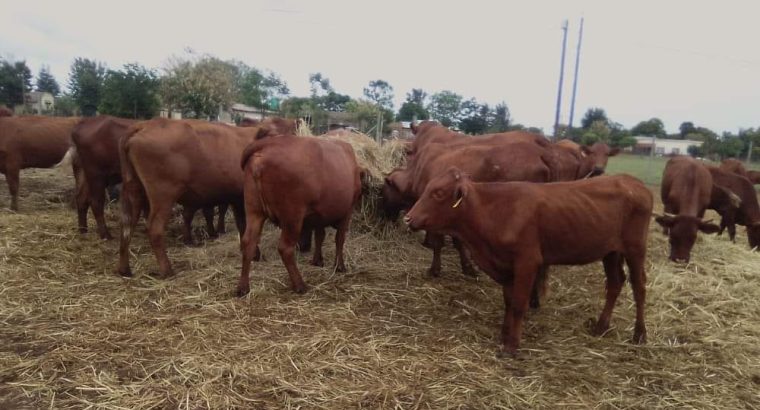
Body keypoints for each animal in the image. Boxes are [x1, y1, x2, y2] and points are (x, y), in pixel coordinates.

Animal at [68, 115, 227, 242]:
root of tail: (81, 125)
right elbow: (212, 210)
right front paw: (216, 231)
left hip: (86, 175)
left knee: (81, 199)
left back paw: (83, 229)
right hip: (96, 176)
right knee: (96, 202)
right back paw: (105, 234)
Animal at [117, 118, 291, 278]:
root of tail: (145, 124)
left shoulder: (237, 199)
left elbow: (242, 225)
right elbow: (248, 227)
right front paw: (255, 254)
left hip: (134, 190)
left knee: (126, 227)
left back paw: (125, 269)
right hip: (163, 195)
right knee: (154, 229)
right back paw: (167, 270)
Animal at [236, 135, 362, 296]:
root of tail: (268, 143)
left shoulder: (319, 216)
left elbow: (319, 237)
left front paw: (317, 261)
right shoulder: (348, 210)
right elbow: (339, 239)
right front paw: (339, 266)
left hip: (254, 211)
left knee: (248, 242)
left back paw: (243, 287)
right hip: (292, 217)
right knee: (285, 248)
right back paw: (300, 284)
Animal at [403, 169, 652, 356]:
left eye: (438, 193)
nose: (408, 218)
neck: (496, 210)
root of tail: (632, 181)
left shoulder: (527, 262)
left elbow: (518, 304)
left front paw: (512, 345)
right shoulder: (505, 265)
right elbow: (508, 301)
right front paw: (504, 333)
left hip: (635, 248)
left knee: (639, 287)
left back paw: (639, 334)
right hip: (610, 251)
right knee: (615, 283)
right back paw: (601, 326)